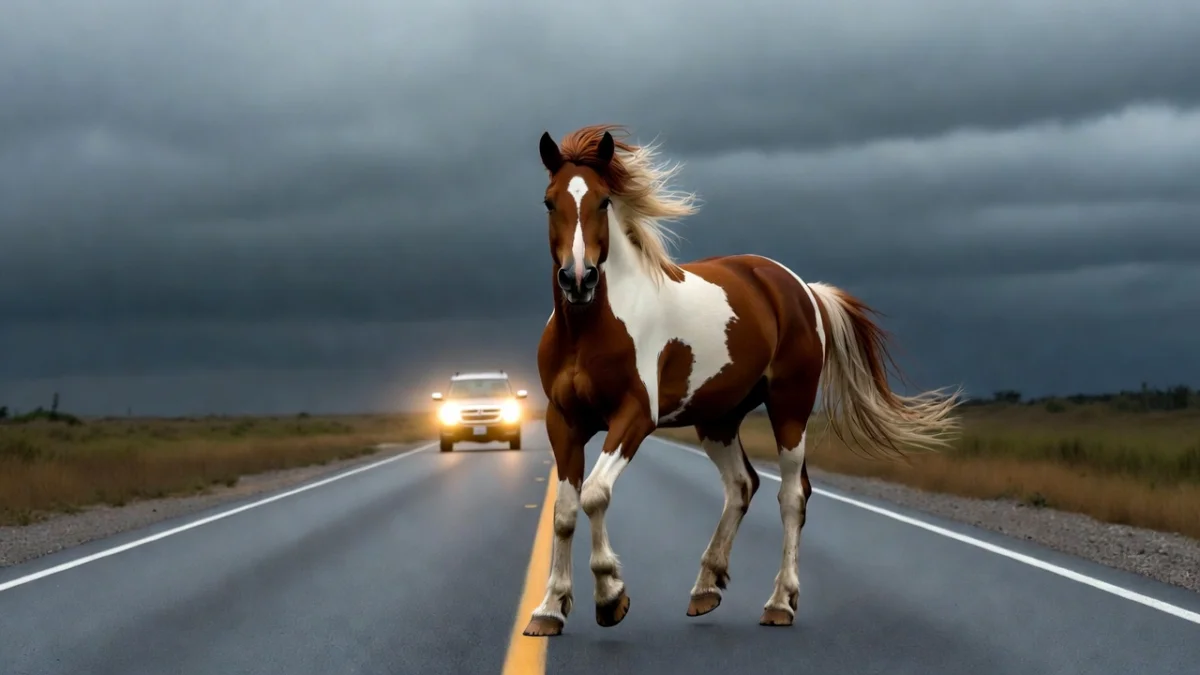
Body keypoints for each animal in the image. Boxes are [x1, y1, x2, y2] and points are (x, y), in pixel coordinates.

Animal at [522, 124, 963, 637]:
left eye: (604, 201)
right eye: (549, 201)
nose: (579, 279)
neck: (591, 329)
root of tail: (800, 288)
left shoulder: (634, 417)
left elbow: (595, 495)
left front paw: (610, 596)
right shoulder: (564, 421)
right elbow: (565, 510)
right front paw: (550, 609)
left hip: (790, 407)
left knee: (791, 495)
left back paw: (780, 603)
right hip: (717, 419)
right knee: (741, 485)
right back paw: (705, 589)